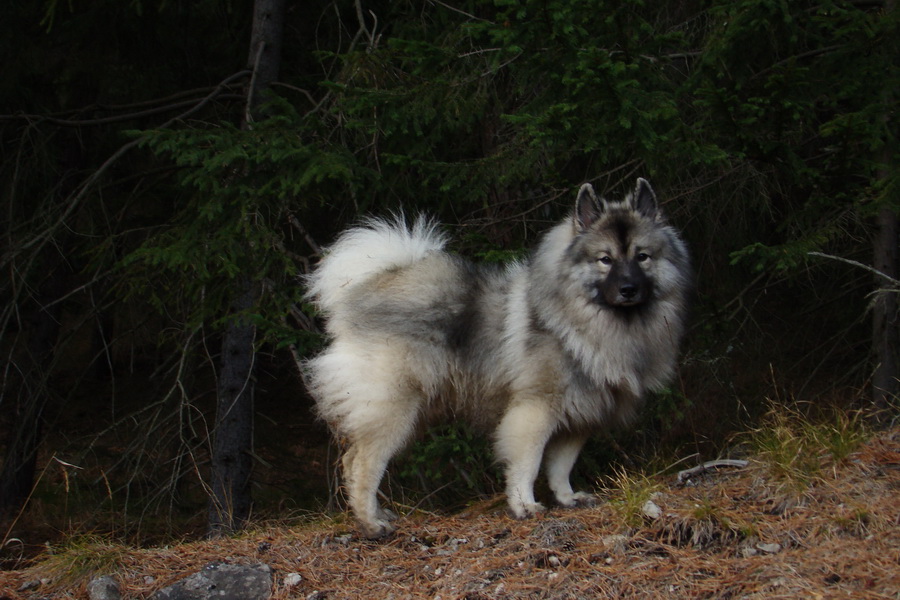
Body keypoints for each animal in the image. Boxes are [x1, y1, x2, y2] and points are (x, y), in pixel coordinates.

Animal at [302, 179, 688, 540]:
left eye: (642, 256)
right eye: (605, 259)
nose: (628, 289)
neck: (590, 321)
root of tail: (368, 286)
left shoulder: (579, 415)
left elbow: (561, 466)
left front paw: (567, 498)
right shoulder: (536, 409)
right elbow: (528, 462)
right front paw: (525, 505)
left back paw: (379, 515)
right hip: (393, 407)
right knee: (361, 463)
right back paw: (371, 523)